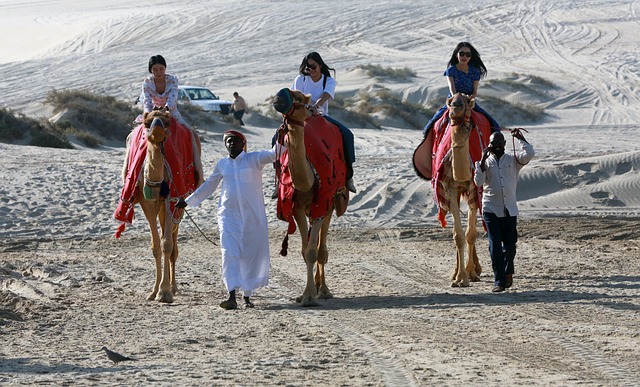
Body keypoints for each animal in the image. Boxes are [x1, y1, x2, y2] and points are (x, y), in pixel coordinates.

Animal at [115, 108, 202, 304]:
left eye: (167, 122)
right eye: (147, 123)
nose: (157, 131)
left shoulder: (172, 200)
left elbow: (167, 245)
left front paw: (165, 292)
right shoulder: (146, 203)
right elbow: (155, 246)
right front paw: (154, 291)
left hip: (179, 204)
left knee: (174, 243)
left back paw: (174, 287)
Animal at [272, 88, 348, 306]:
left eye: (299, 98)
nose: (279, 97)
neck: (308, 178)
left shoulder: (322, 203)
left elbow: (314, 252)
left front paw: (310, 296)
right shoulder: (296, 207)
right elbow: (305, 251)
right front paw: (304, 294)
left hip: (331, 203)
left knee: (322, 249)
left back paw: (323, 290)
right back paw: (317, 285)